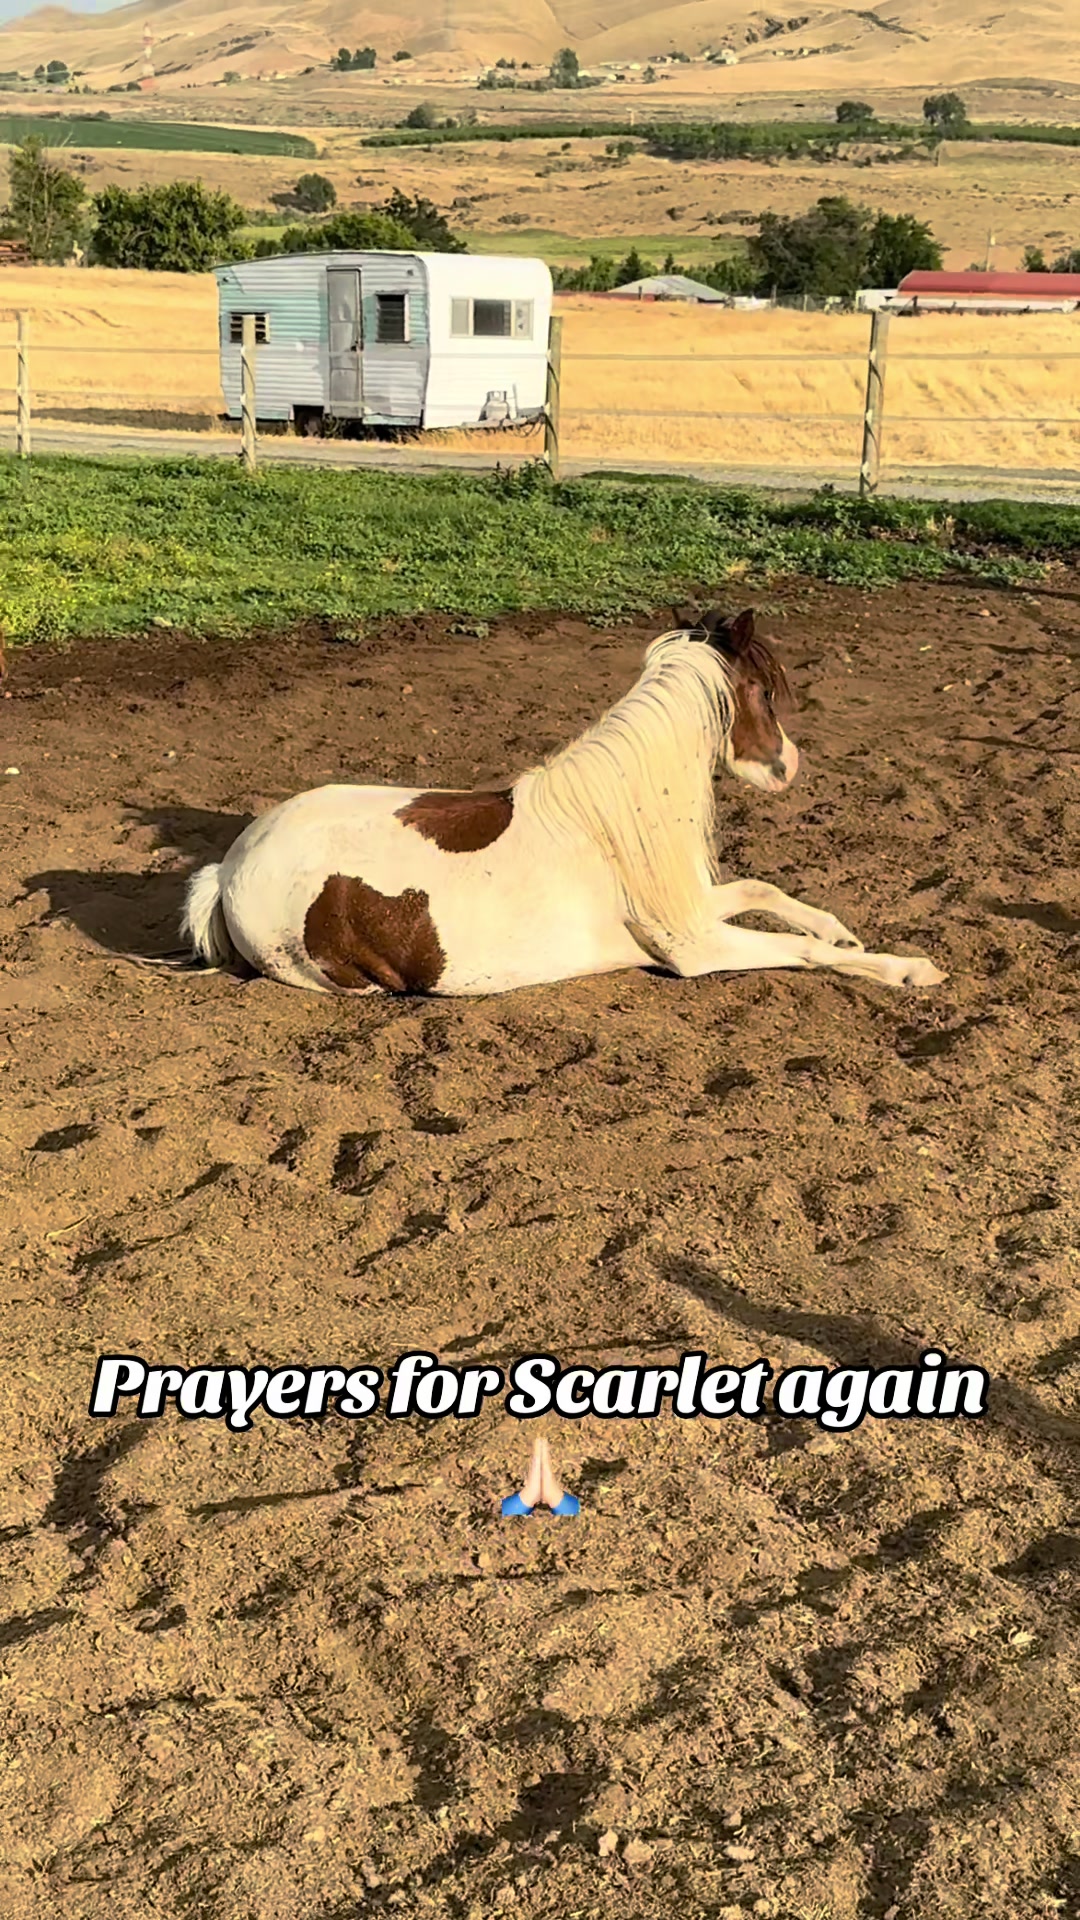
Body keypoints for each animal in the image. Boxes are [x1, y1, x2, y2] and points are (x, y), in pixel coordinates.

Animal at [181, 608, 945, 998]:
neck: (619, 819)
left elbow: (767, 890)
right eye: (761, 690)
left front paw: (841, 931)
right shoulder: (696, 946)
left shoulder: (696, 905)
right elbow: (803, 953)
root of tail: (229, 869)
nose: (791, 766)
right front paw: (907, 969)